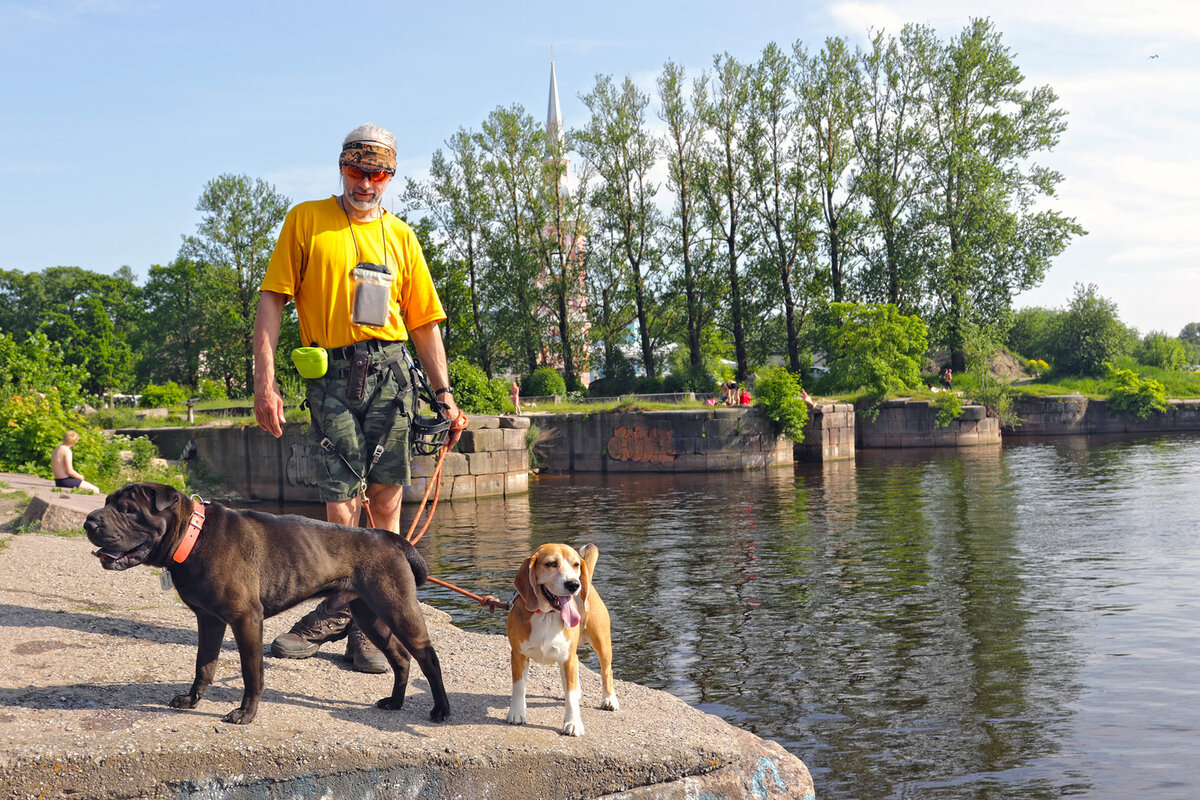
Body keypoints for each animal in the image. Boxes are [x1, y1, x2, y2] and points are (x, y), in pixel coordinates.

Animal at [83, 482, 451, 724]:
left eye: (128, 510)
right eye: (108, 501)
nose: (90, 521)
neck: (193, 535)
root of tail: (389, 537)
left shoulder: (246, 619)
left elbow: (251, 672)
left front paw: (246, 713)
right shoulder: (209, 620)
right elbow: (204, 665)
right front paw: (192, 699)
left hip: (399, 610)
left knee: (428, 658)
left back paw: (441, 709)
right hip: (371, 615)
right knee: (401, 658)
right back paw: (396, 701)